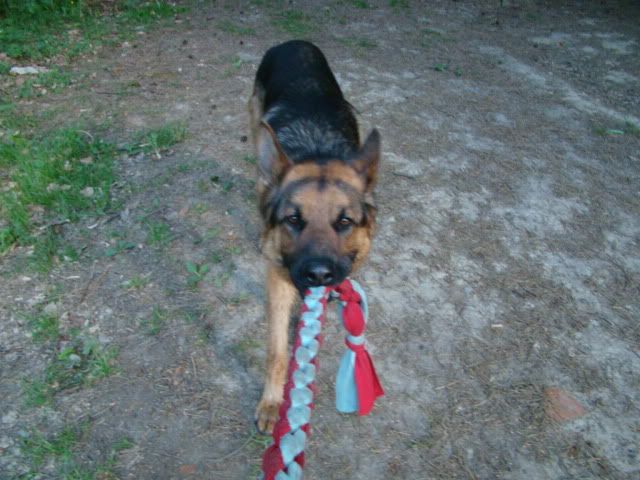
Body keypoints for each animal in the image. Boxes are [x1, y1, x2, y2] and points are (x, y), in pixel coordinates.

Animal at [249, 40, 381, 433]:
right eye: (294, 219)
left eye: (344, 221)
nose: (319, 275)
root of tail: (295, 42)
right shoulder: (278, 279)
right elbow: (278, 350)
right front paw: (272, 403)